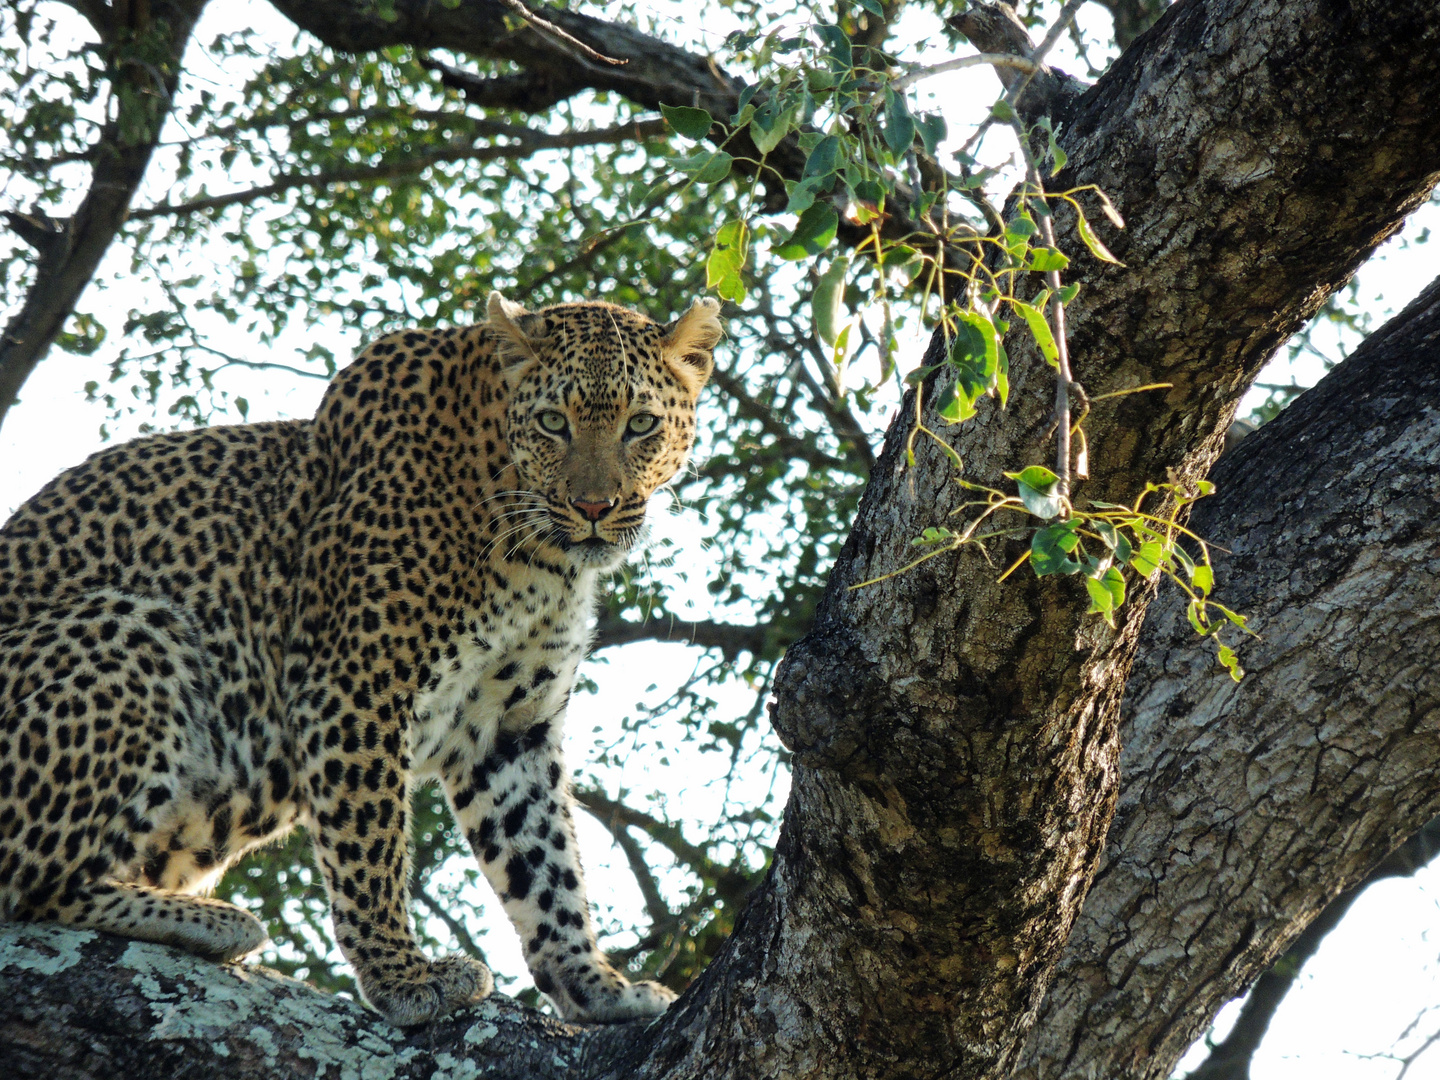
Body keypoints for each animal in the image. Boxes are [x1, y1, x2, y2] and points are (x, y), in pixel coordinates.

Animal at [0, 292, 720, 1025]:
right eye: (553, 422)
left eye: (640, 425)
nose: (594, 507)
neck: (538, 555)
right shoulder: (353, 688)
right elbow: (368, 842)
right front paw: (404, 978)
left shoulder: (510, 728)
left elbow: (544, 862)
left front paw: (594, 984)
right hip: (136, 627)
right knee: (32, 884)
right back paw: (212, 921)